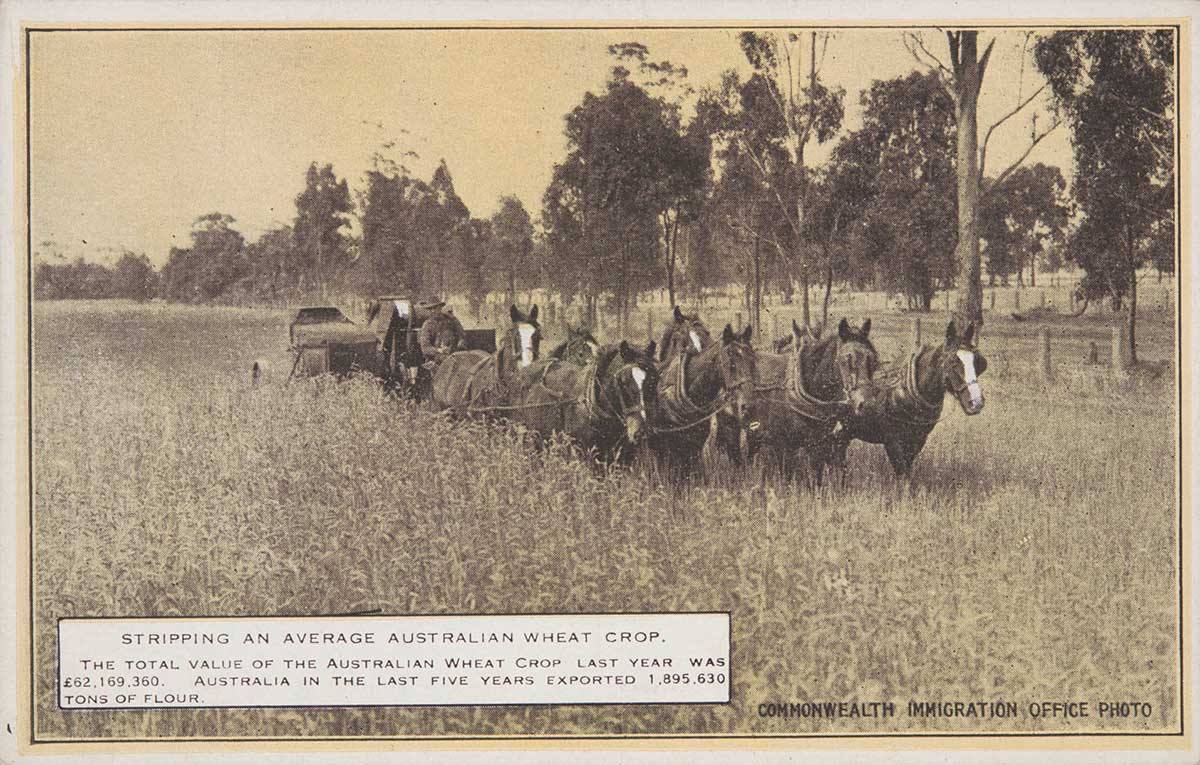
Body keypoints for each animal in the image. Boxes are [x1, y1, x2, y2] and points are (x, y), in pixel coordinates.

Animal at [744, 321, 878, 489]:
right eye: (846, 359)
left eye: (873, 360)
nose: (868, 405)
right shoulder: (801, 446)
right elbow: (812, 477)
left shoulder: (838, 445)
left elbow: (839, 476)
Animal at [844, 318, 984, 477]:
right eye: (953, 362)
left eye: (978, 362)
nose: (976, 402)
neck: (902, 393)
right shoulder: (893, 442)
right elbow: (902, 475)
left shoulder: (917, 441)